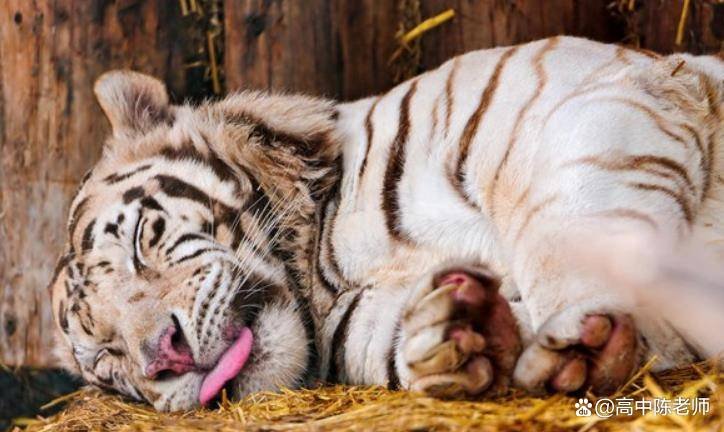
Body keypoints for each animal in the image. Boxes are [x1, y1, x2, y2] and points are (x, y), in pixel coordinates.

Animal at [49, 36, 724, 411]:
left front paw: (576, 335)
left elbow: (565, 228)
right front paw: (461, 332)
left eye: (140, 242)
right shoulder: (360, 321)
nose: (166, 356)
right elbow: (391, 339)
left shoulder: (574, 97)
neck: (319, 269)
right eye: (108, 361)